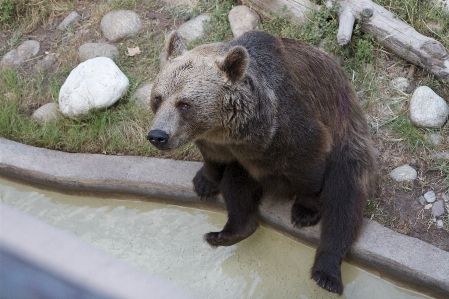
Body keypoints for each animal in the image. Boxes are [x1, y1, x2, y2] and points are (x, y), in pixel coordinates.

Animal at [148, 29, 378, 296]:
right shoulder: (220, 143)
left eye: (184, 103)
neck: (235, 132)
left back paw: (327, 275)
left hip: (348, 143)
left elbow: (310, 163)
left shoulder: (289, 126)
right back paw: (226, 233)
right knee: (237, 188)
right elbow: (215, 161)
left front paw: (305, 211)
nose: (158, 135)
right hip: (248, 169)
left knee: (344, 201)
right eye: (158, 98)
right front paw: (204, 182)